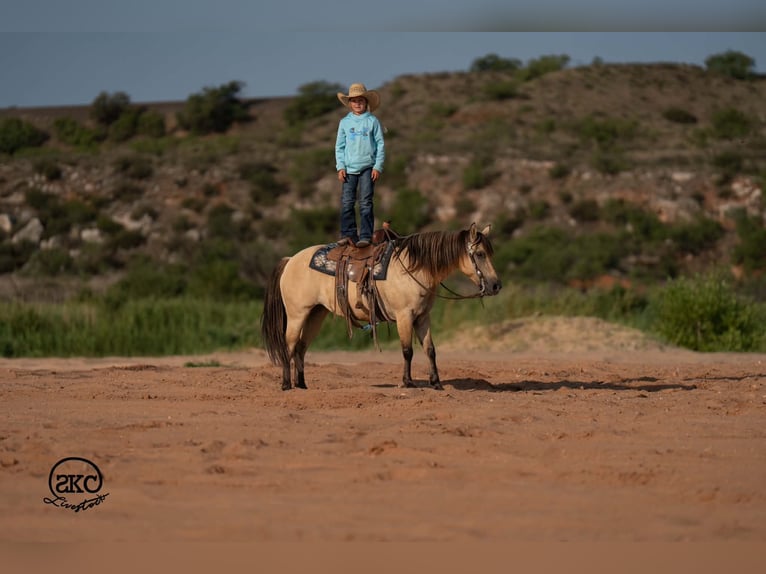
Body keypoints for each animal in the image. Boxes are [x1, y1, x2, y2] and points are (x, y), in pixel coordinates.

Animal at [260, 223, 501, 391]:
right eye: (480, 254)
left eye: (490, 253)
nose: (496, 285)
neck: (413, 268)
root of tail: (290, 260)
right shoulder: (405, 316)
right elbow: (407, 350)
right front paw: (407, 382)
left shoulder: (423, 317)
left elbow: (430, 350)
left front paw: (436, 383)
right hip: (297, 315)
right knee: (289, 345)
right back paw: (286, 385)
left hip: (315, 315)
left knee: (301, 348)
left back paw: (302, 384)